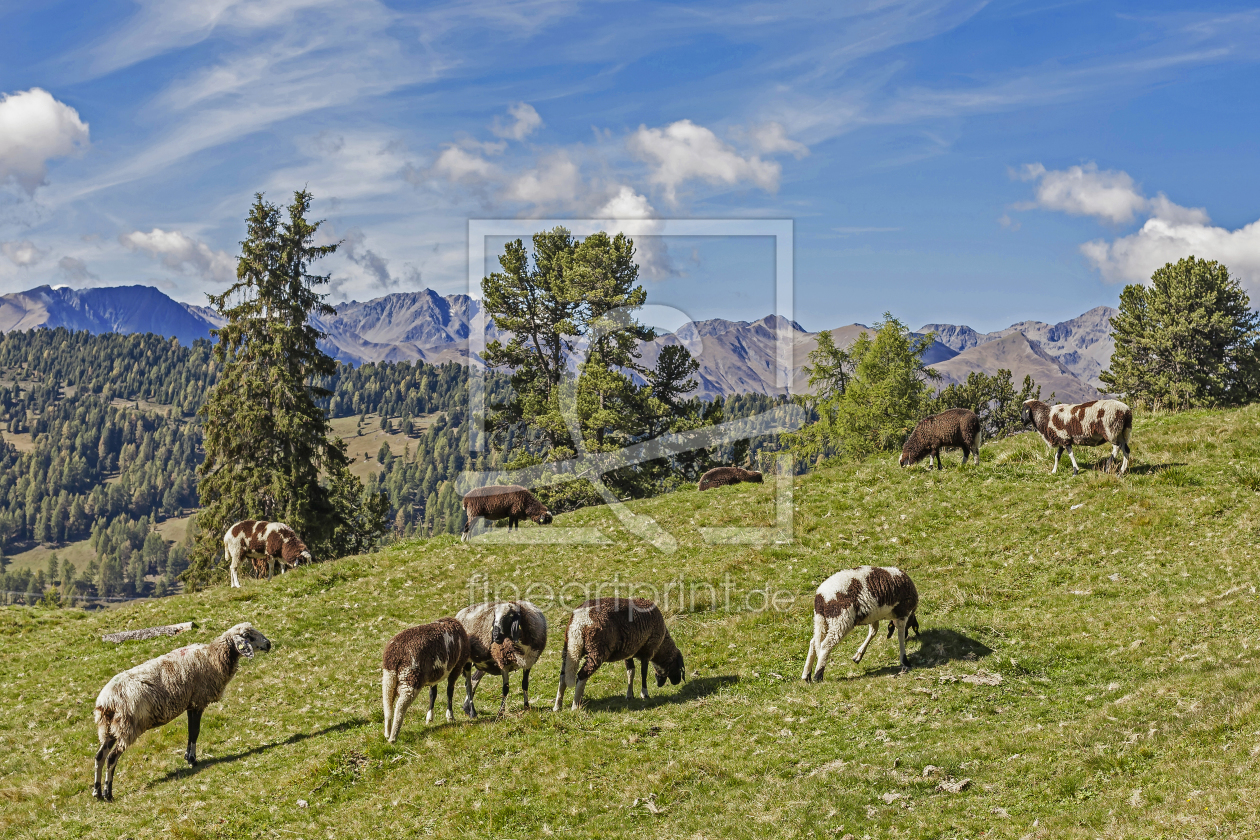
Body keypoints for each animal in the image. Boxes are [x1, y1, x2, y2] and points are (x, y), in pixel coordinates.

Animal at [92, 624, 270, 800]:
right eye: (248, 636)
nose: (268, 644)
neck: (213, 657)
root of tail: (106, 701)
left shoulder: (190, 704)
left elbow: (191, 732)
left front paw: (188, 757)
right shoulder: (198, 701)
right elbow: (195, 731)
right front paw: (192, 760)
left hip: (109, 728)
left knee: (100, 756)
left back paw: (97, 791)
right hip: (127, 726)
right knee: (111, 758)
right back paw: (108, 793)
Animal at [554, 594, 685, 715]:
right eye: (678, 666)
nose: (677, 682)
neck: (661, 647)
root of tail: (580, 621)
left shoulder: (628, 652)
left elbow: (631, 672)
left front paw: (629, 695)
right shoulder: (647, 650)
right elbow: (643, 672)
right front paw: (644, 694)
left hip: (569, 649)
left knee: (563, 676)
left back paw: (557, 706)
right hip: (597, 651)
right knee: (582, 675)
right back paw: (575, 706)